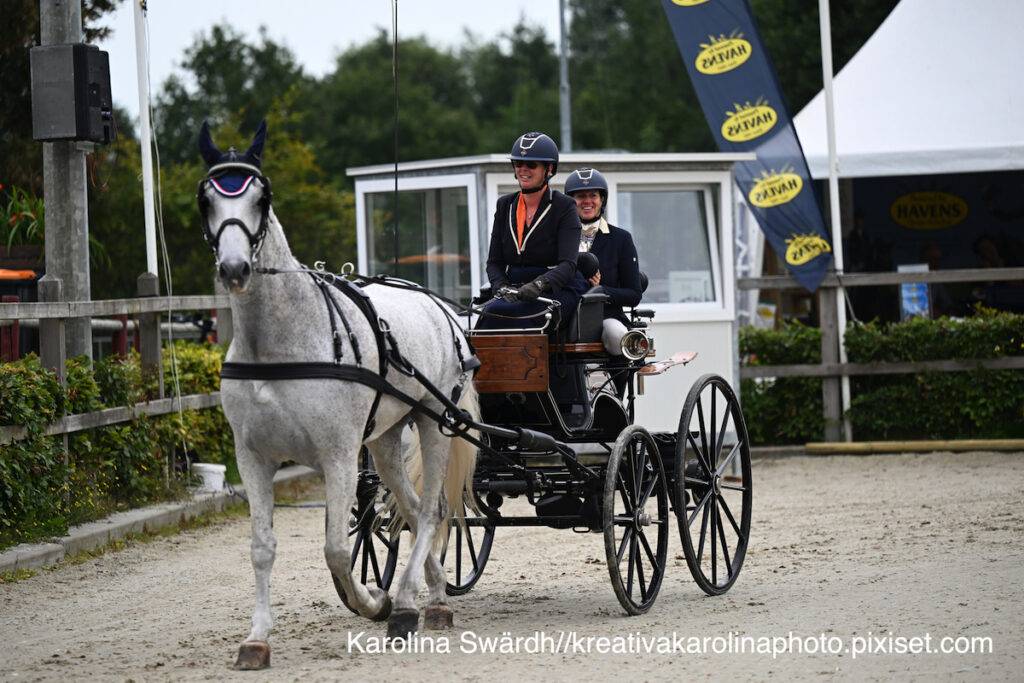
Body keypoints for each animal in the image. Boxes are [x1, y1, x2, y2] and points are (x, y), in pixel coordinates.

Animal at [196, 121, 480, 669]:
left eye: (262, 197)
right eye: (206, 199)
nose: (235, 269)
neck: (280, 344)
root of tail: (439, 306)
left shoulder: (338, 456)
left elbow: (335, 550)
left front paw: (373, 600)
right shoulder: (252, 457)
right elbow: (262, 546)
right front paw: (257, 638)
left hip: (434, 423)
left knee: (431, 511)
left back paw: (404, 605)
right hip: (385, 441)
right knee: (414, 509)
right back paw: (432, 595)